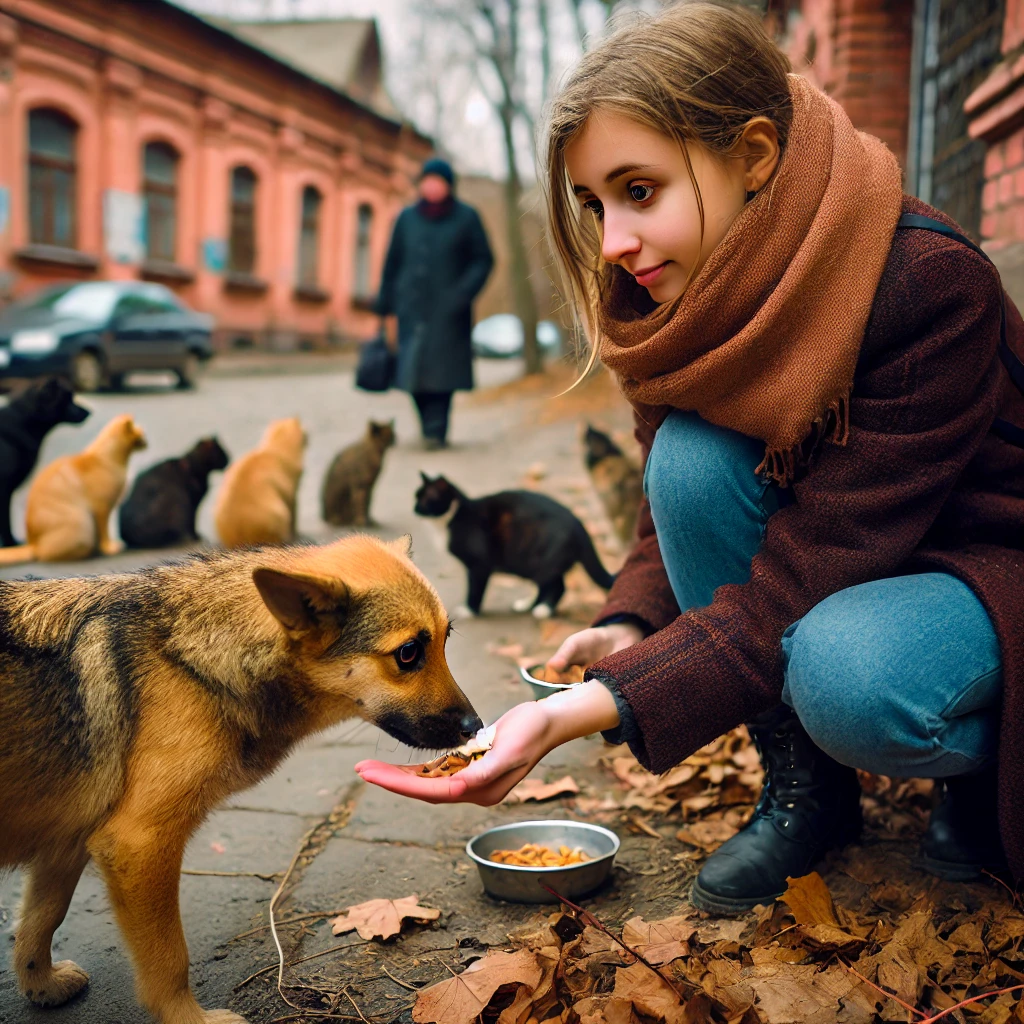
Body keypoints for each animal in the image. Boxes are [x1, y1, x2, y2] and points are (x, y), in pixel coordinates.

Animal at [0, 411, 146, 565]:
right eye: (142, 434)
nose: (147, 442)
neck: (106, 458)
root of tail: (33, 544)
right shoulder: (101, 508)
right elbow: (104, 530)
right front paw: (109, 547)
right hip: (81, 524)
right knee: (48, 556)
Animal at [0, 536, 481, 1024]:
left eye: (445, 640)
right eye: (408, 653)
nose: (475, 727)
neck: (189, 661)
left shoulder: (69, 841)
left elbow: (43, 917)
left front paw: (40, 984)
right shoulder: (138, 844)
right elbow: (169, 958)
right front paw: (189, 1019)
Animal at [409, 471, 614, 614]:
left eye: (425, 500)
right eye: (416, 497)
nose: (414, 508)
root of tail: (578, 522)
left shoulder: (479, 565)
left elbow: (475, 589)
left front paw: (469, 610)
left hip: (539, 562)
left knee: (557, 585)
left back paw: (543, 610)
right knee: (547, 585)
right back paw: (528, 605)